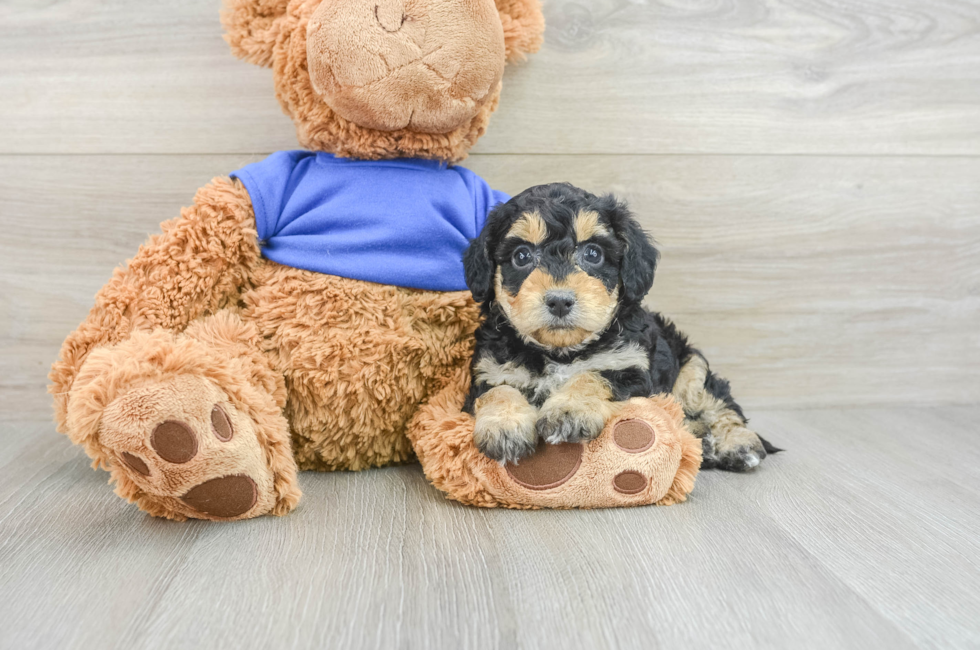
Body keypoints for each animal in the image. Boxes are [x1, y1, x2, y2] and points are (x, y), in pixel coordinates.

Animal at [462, 182, 780, 470]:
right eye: (521, 256)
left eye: (593, 254)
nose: (560, 301)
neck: (560, 352)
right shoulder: (490, 371)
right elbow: (498, 391)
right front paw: (504, 427)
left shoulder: (630, 368)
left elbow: (593, 375)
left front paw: (569, 410)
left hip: (691, 368)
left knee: (717, 403)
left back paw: (737, 444)